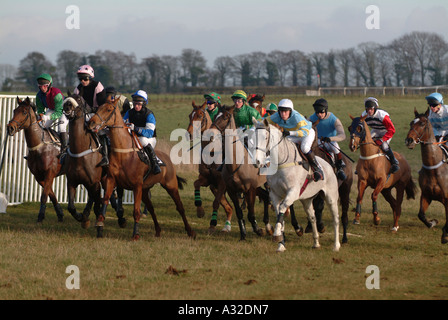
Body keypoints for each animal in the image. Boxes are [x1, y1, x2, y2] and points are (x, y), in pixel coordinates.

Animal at [62, 92, 126, 230]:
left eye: (78, 99)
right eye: (67, 98)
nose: (67, 105)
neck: (80, 153)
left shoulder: (94, 183)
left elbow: (97, 205)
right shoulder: (72, 182)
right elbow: (71, 207)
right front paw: (82, 217)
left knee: (116, 193)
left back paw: (120, 215)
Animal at [87, 97, 196, 240]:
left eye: (109, 109)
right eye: (98, 108)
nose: (91, 123)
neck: (123, 154)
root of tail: (168, 159)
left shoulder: (137, 185)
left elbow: (136, 211)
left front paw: (136, 234)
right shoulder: (111, 180)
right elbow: (105, 200)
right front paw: (100, 223)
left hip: (171, 186)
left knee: (180, 207)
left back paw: (190, 231)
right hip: (145, 190)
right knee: (151, 208)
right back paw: (158, 231)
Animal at [186, 100, 234, 232]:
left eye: (200, 116)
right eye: (190, 116)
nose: (189, 134)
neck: (211, 152)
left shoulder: (222, 183)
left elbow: (216, 203)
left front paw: (212, 225)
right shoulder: (208, 180)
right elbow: (196, 184)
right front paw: (200, 211)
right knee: (229, 208)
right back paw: (227, 226)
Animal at [252, 117, 340, 252]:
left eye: (265, 137)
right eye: (252, 137)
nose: (257, 162)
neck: (281, 162)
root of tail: (329, 165)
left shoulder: (292, 192)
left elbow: (283, 209)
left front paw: (277, 234)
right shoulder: (275, 194)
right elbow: (279, 215)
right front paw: (281, 244)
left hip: (331, 197)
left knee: (335, 218)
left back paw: (336, 245)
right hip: (307, 200)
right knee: (312, 217)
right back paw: (316, 242)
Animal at [406, 109, 448, 244]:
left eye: (422, 123)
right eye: (411, 123)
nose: (409, 140)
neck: (434, 168)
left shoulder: (447, 199)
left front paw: (444, 235)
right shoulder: (426, 195)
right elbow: (421, 215)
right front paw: (432, 222)